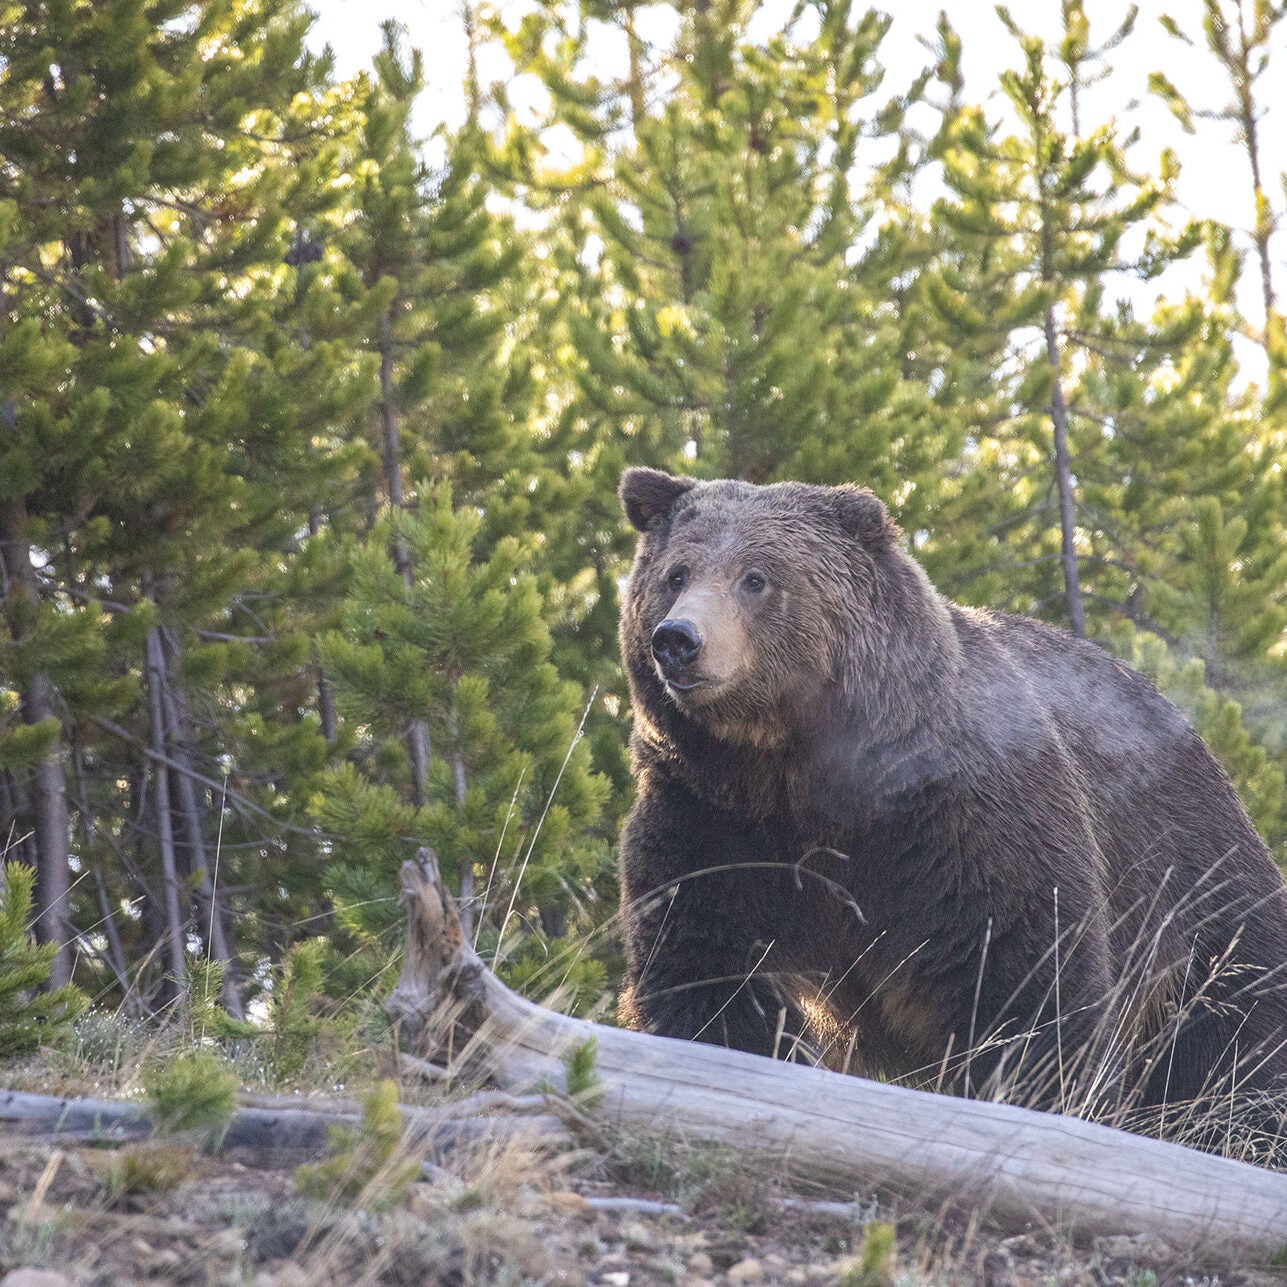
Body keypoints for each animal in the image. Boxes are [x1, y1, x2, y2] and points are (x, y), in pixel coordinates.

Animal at [612, 468, 1287, 1122]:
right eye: (676, 574)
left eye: (756, 578)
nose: (678, 639)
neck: (797, 772)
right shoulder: (712, 818)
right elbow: (704, 964)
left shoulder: (958, 818)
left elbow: (1019, 975)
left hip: (1192, 877)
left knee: (1238, 1028)